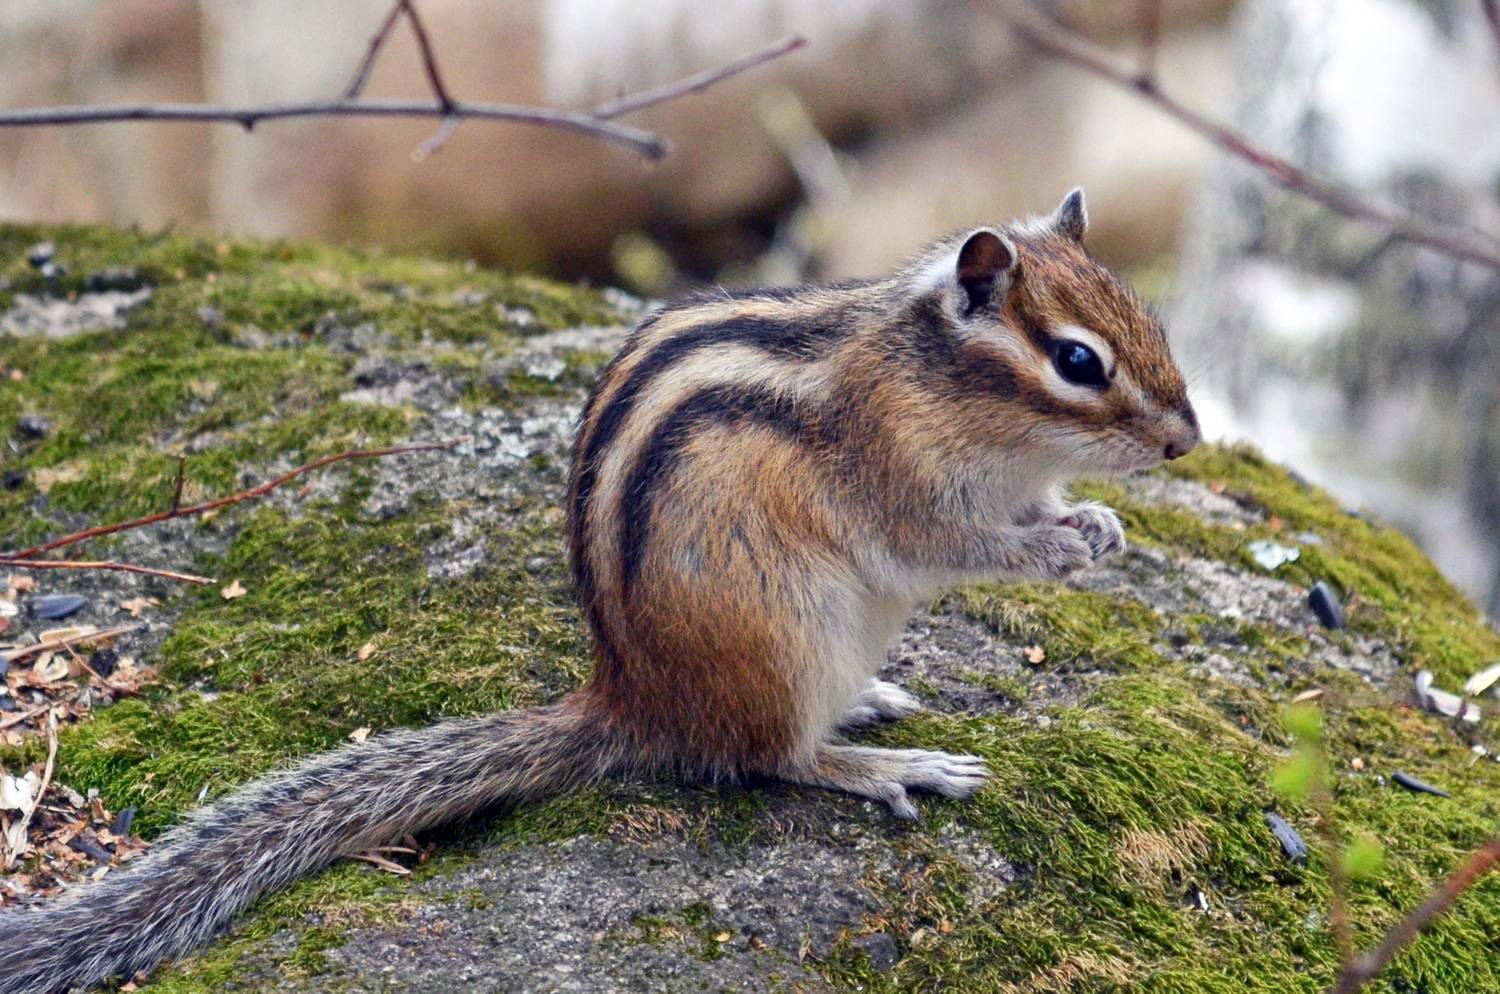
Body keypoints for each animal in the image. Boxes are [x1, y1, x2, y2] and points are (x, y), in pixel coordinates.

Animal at [0, 189, 1199, 994]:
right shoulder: (900, 481)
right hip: (790, 635)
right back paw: (880, 762)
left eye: (1149, 322)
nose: (1187, 441)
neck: (946, 388)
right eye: (1080, 362)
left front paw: (1097, 524)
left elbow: (1048, 509)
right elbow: (958, 544)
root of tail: (634, 700)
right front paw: (1059, 554)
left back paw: (870, 701)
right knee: (772, 756)